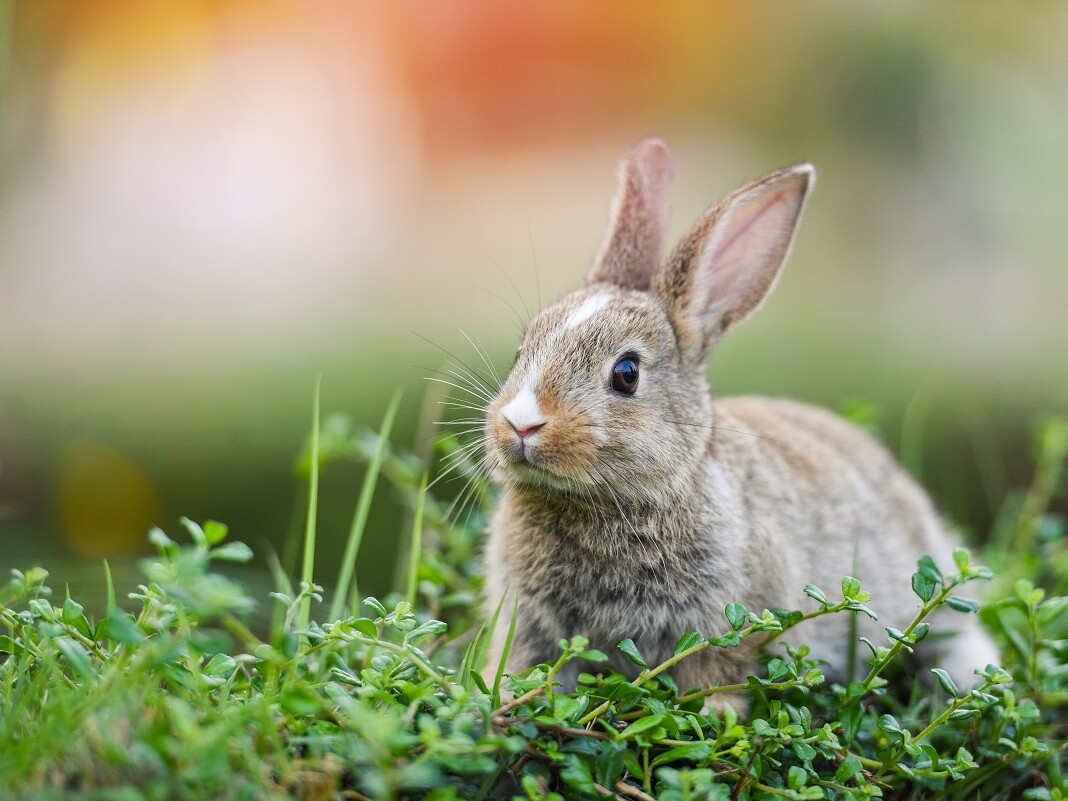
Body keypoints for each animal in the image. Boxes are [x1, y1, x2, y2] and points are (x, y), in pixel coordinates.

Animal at [480, 138, 998, 704]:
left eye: (626, 373)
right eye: (522, 349)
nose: (521, 424)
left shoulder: (727, 621)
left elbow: (717, 672)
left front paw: (718, 713)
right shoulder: (531, 627)